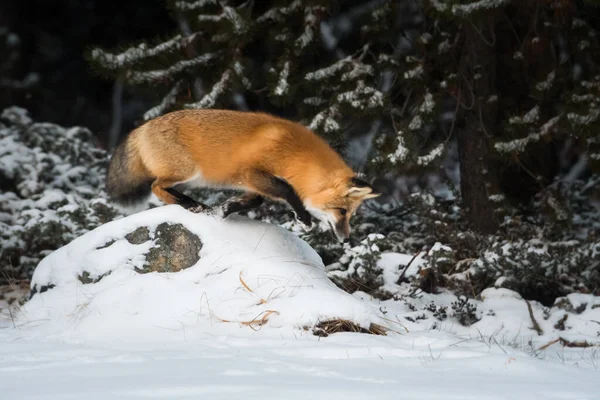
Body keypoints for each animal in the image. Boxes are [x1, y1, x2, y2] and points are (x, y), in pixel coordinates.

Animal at [106, 108, 380, 242]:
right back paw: (189, 204)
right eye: (342, 212)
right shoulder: (250, 173)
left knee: (163, 189)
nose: (345, 240)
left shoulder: (252, 184)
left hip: (188, 178)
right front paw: (303, 218)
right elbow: (287, 191)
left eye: (350, 215)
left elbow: (254, 201)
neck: (293, 155)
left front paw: (224, 210)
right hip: (187, 172)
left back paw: (193, 204)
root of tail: (141, 128)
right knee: (156, 187)